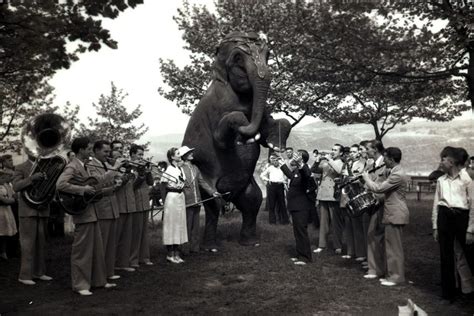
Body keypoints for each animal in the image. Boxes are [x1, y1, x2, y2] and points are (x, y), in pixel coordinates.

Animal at [182, 31, 290, 249]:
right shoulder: (218, 107)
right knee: (213, 207)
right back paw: (211, 247)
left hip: (244, 188)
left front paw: (273, 141)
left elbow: (273, 123)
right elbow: (222, 137)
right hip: (205, 181)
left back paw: (249, 242)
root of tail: (229, 195)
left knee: (252, 200)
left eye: (268, 54)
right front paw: (244, 133)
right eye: (238, 59)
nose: (247, 136)